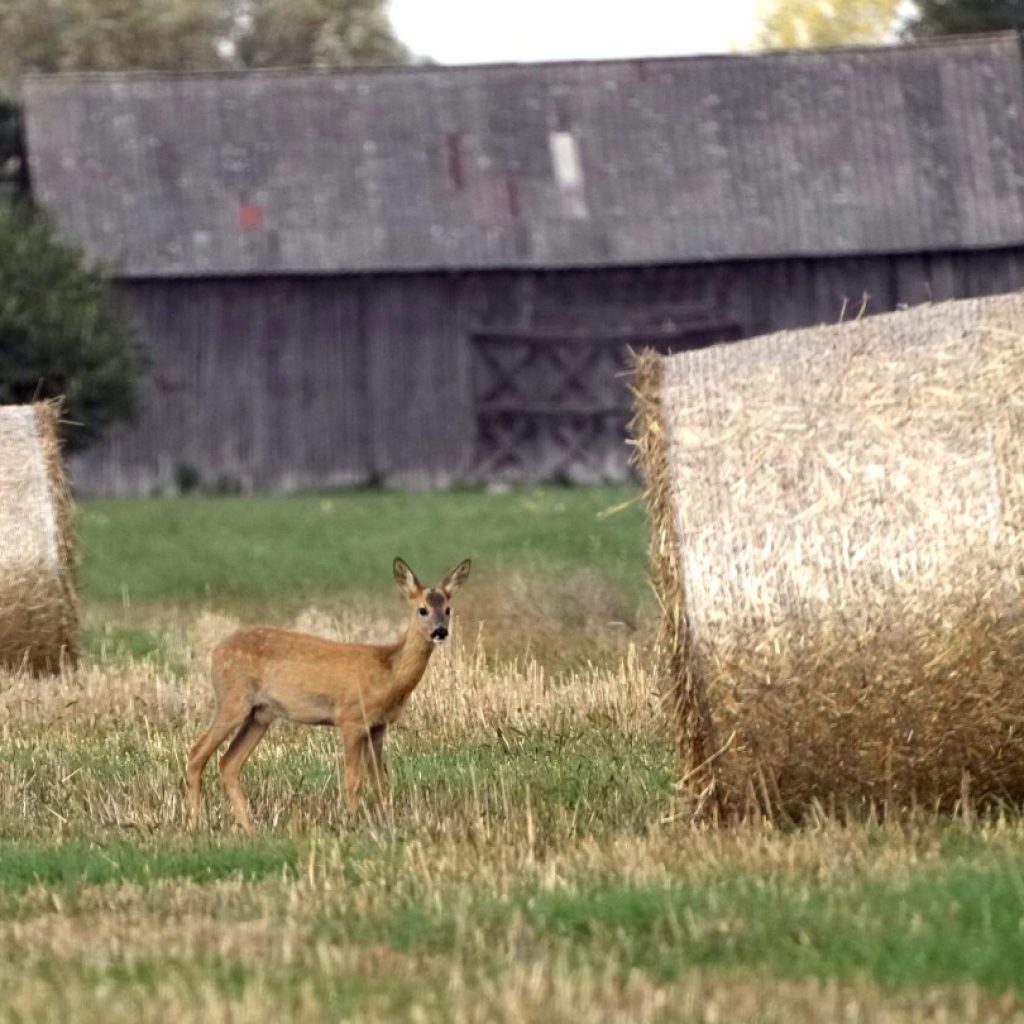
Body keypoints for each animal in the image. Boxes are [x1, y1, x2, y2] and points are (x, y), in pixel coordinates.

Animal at [186, 557, 468, 827]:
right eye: (422, 609)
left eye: (448, 609)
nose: (440, 631)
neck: (388, 671)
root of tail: (214, 653)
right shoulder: (350, 718)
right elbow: (353, 780)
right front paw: (350, 822)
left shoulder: (378, 725)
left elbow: (379, 779)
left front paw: (386, 820)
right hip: (232, 699)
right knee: (197, 753)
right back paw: (197, 824)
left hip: (260, 714)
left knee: (229, 763)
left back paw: (249, 827)